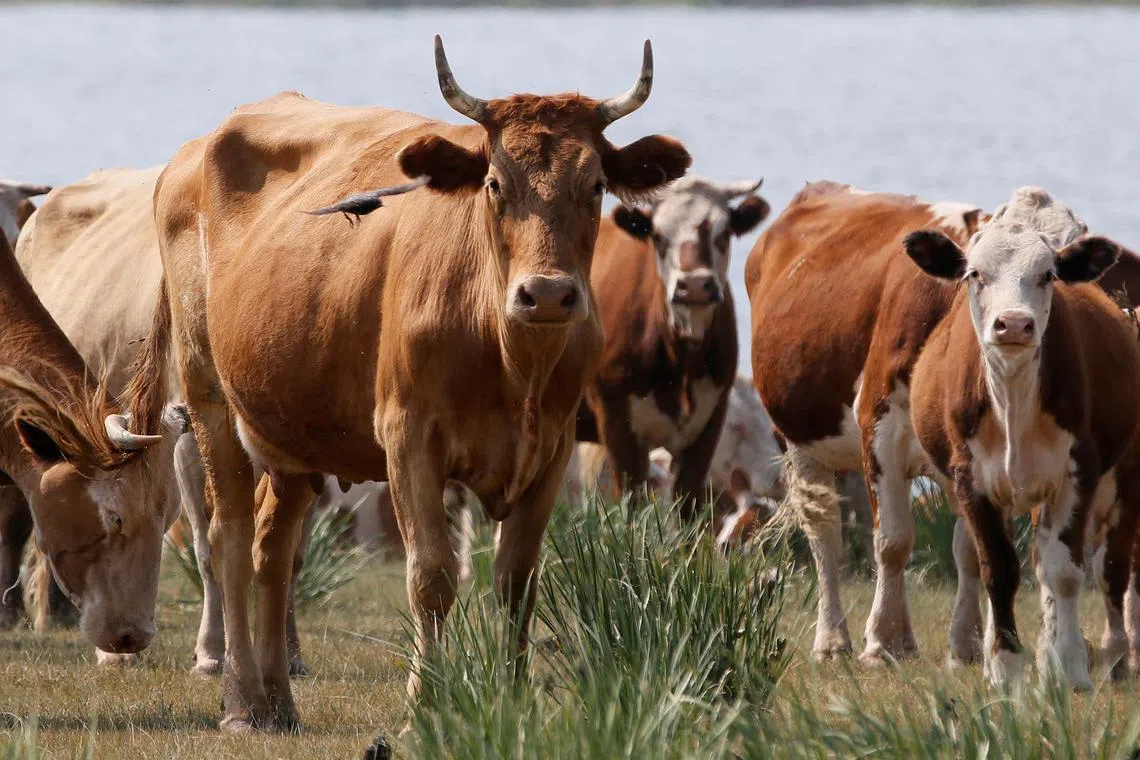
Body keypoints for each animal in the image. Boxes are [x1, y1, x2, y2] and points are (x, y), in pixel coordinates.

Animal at [129, 36, 690, 733]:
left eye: (596, 187)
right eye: (494, 183)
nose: (547, 294)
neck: (513, 363)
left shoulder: (554, 449)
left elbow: (517, 579)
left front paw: (510, 700)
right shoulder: (408, 437)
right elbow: (432, 575)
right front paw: (423, 705)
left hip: (289, 430)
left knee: (273, 549)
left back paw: (278, 700)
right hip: (208, 394)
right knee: (228, 535)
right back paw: (241, 700)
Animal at [577, 177, 769, 521]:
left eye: (723, 233)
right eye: (658, 236)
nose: (693, 286)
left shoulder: (710, 420)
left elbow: (687, 503)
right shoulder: (615, 421)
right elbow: (632, 501)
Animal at [905, 187, 1140, 689]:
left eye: (1047, 274)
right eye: (974, 273)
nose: (1013, 324)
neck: (1013, 400)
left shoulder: (1078, 475)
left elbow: (1065, 571)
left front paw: (1069, 666)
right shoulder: (970, 481)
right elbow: (998, 570)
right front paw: (1004, 667)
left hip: (1124, 480)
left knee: (1109, 569)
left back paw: (1113, 656)